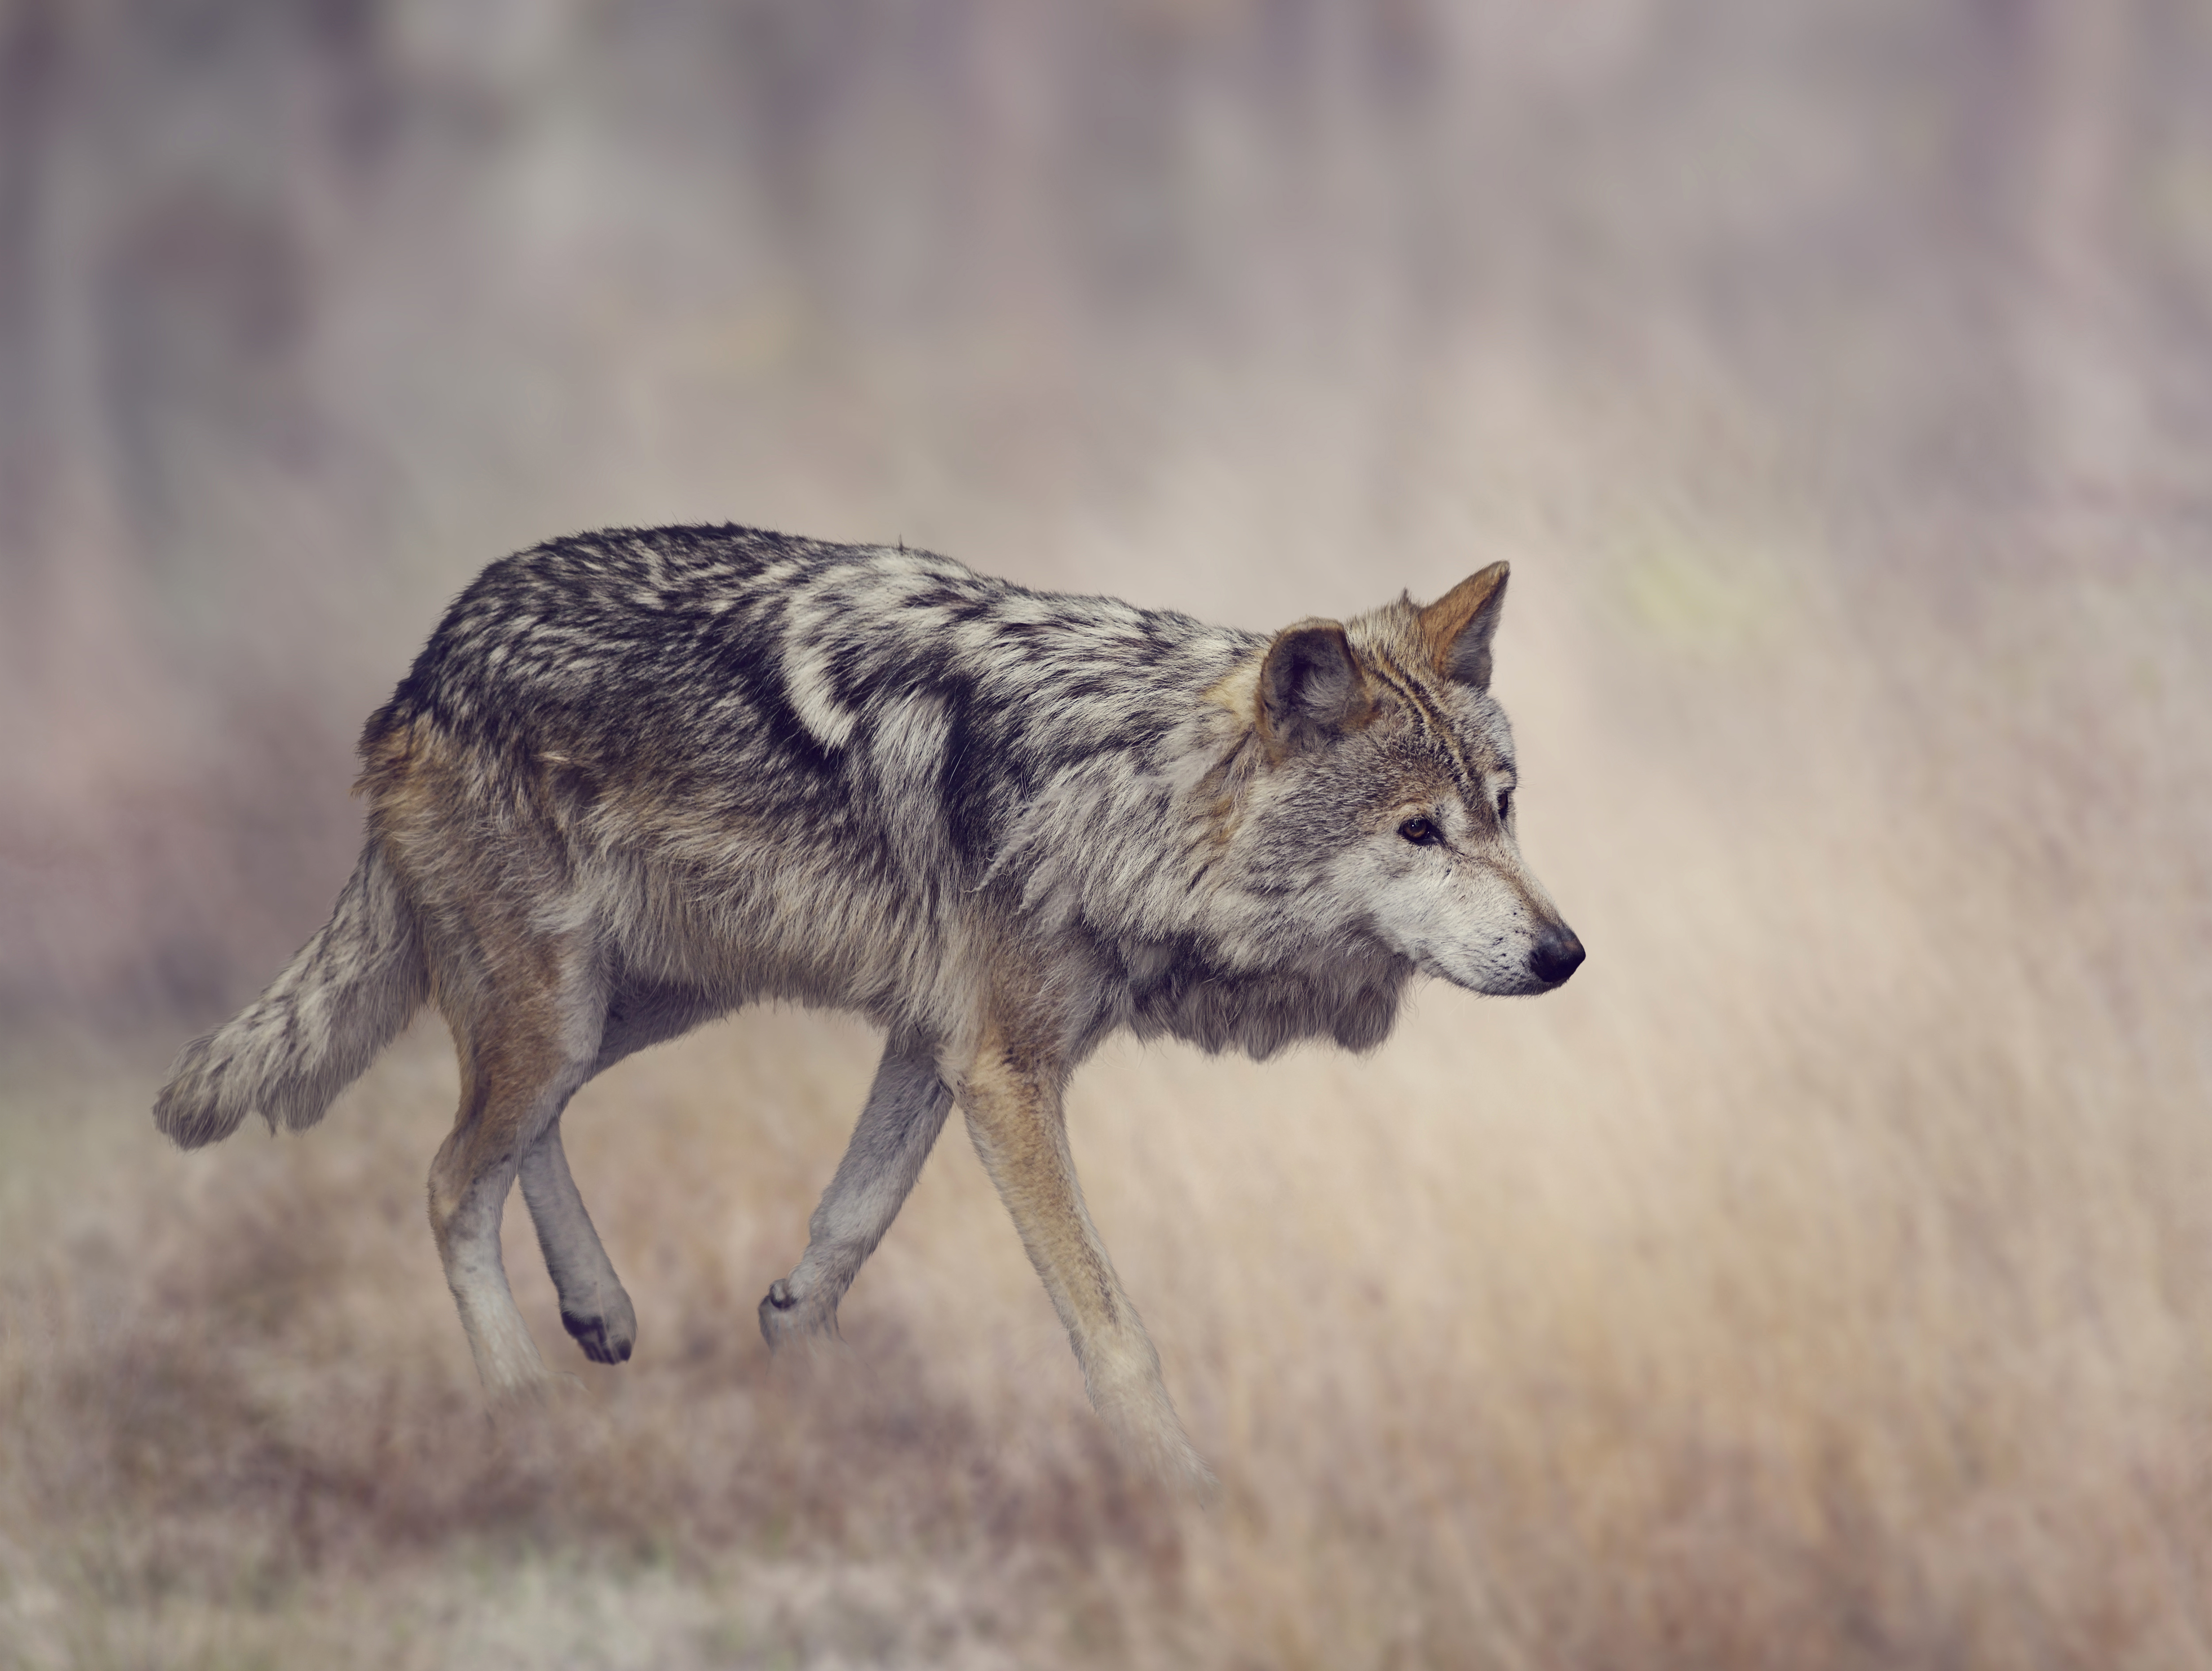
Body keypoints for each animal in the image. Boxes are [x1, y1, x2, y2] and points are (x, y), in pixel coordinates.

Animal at [151, 526, 1575, 1485]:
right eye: (1417, 831)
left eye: (1502, 810)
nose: (1562, 954)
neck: (1119, 788)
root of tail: (430, 657)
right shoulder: (1002, 1068)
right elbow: (1111, 1326)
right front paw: (1180, 1490)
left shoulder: (932, 1041)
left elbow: (849, 1221)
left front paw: (807, 1361)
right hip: (568, 1005)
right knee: (451, 1172)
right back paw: (520, 1401)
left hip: (632, 1003)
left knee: (507, 1133)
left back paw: (598, 1309)